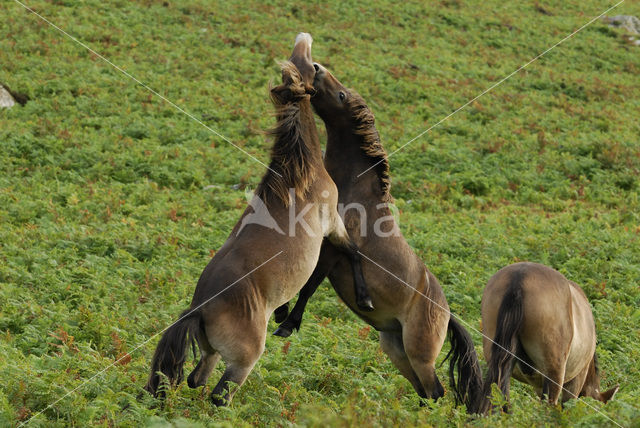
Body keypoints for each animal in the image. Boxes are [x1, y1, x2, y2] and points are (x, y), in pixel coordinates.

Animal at [144, 35, 376, 406]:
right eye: (307, 65)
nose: (313, 55)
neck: (298, 175)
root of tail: (199, 310)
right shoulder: (332, 224)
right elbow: (353, 251)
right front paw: (364, 298)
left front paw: (283, 314)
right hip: (242, 362)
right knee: (219, 394)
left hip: (211, 354)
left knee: (196, 378)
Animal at [272, 37, 482, 412]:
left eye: (341, 95)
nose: (317, 68)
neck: (351, 192)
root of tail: (446, 313)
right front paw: (281, 312)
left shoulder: (333, 250)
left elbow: (310, 284)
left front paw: (287, 324)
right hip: (396, 349)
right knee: (426, 392)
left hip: (419, 353)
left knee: (437, 391)